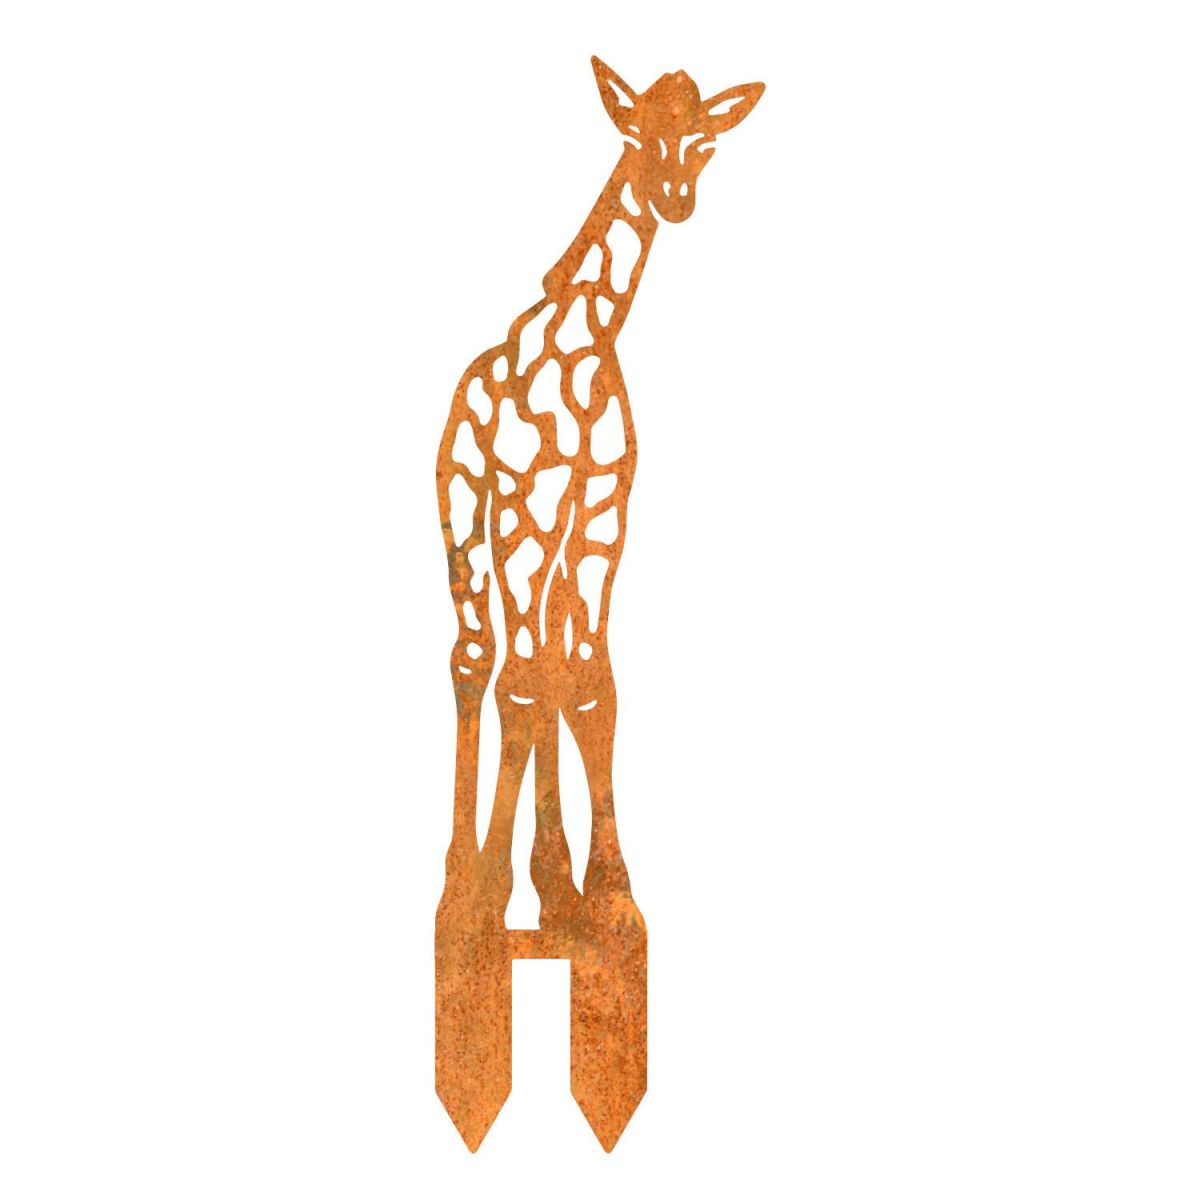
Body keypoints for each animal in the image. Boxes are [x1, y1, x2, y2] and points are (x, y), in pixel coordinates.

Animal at [435, 56, 764, 1152]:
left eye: (704, 139)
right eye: (638, 134)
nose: (675, 198)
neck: (589, 336)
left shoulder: (598, 523)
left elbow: (585, 682)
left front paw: (599, 901)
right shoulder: (527, 512)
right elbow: (525, 686)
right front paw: (499, 902)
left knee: (529, 668)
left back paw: (538, 883)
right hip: (470, 532)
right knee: (475, 664)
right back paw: (464, 878)